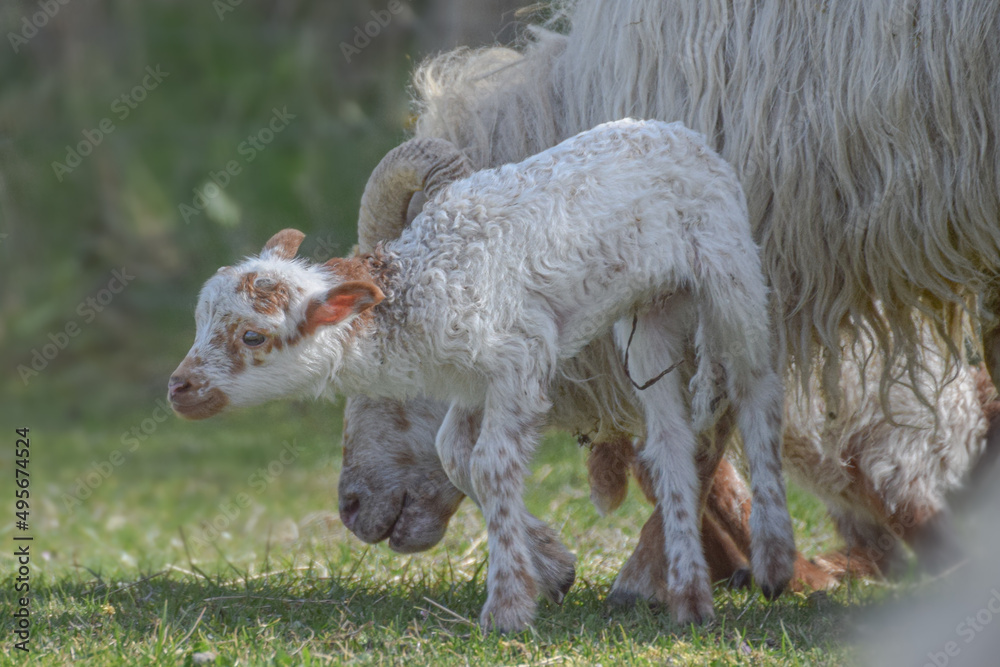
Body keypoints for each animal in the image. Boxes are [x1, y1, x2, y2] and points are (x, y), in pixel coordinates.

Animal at [169, 118, 795, 631]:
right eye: (200, 321)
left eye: (252, 336)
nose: (179, 389)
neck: (419, 288)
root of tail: (681, 132)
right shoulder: (471, 381)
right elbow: (454, 455)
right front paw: (551, 567)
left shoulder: (520, 356)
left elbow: (491, 465)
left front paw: (508, 608)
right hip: (650, 316)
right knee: (670, 439)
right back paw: (690, 599)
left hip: (728, 266)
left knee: (758, 385)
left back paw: (774, 561)